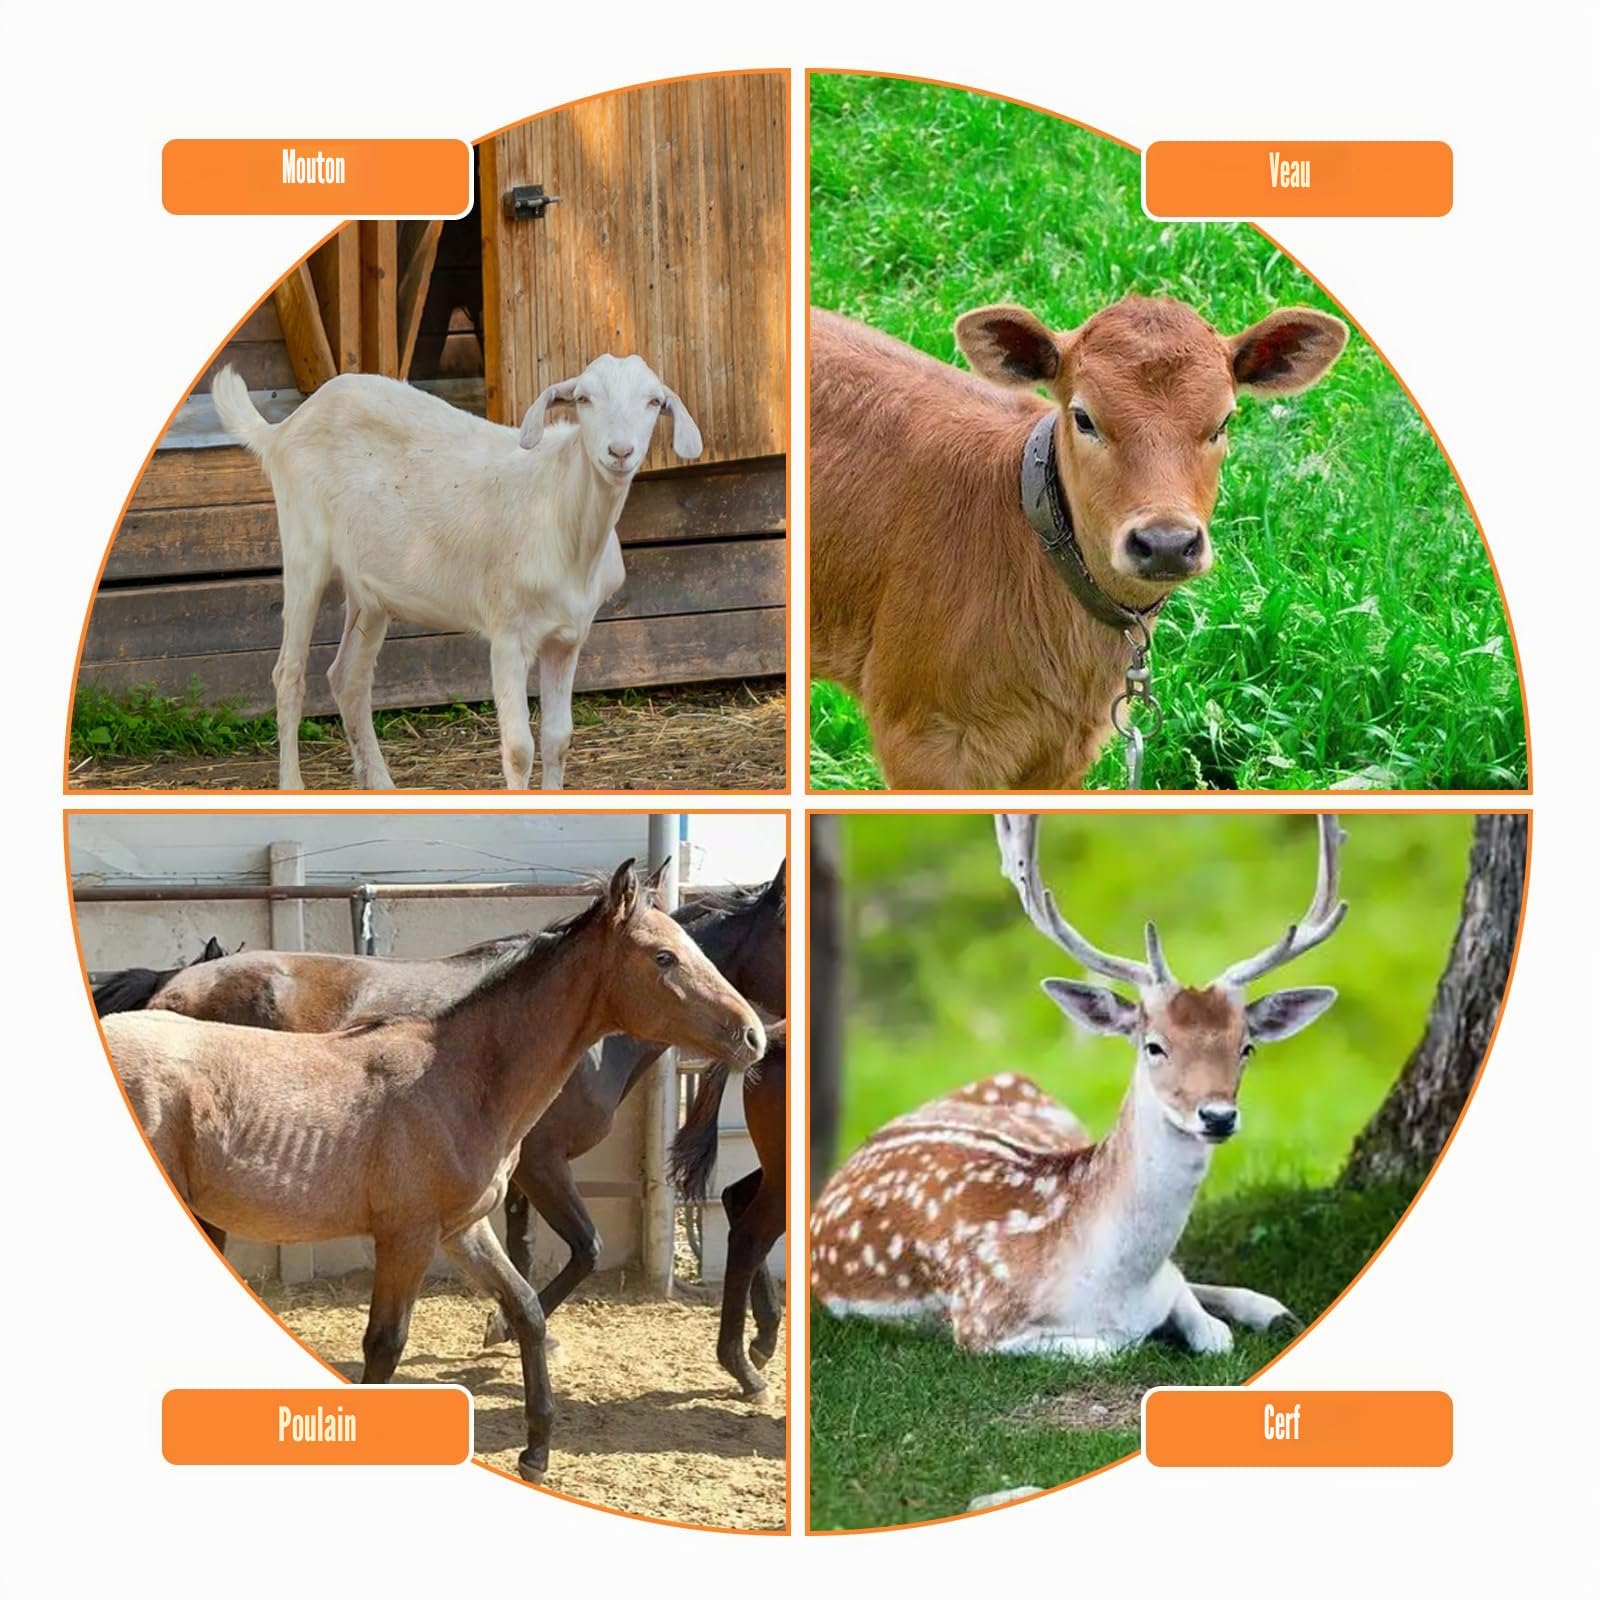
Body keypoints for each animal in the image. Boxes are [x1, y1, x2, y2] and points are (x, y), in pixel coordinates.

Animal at [211, 355, 703, 789]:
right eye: (583, 398)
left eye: (654, 402)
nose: (620, 452)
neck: (564, 513)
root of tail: (281, 429)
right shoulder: (508, 634)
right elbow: (519, 749)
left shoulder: (567, 639)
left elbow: (558, 740)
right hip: (303, 547)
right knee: (288, 674)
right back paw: (291, 783)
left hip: (372, 586)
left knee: (348, 678)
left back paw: (382, 784)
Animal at [809, 814, 1346, 1358]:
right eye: (1154, 1046)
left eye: (1246, 1047)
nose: (1217, 1115)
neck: (1114, 1284)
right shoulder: (981, 1321)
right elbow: (1116, 1346)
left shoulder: (1164, 1284)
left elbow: (1210, 1329)